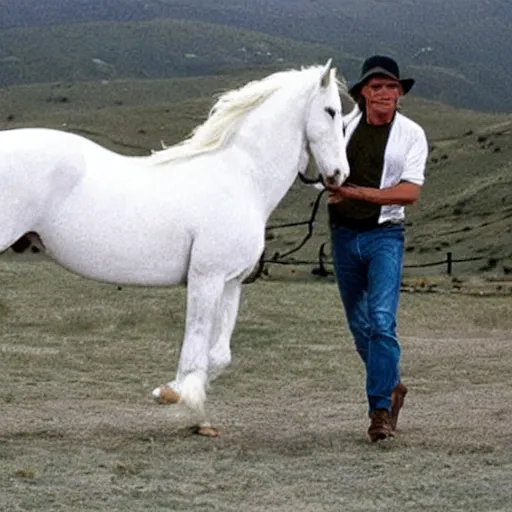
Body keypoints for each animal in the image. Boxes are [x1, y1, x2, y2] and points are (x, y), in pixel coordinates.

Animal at [0, 60, 348, 436]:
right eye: (331, 111)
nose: (340, 174)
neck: (242, 177)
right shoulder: (206, 277)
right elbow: (195, 341)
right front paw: (173, 395)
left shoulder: (230, 283)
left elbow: (218, 354)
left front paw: (194, 409)